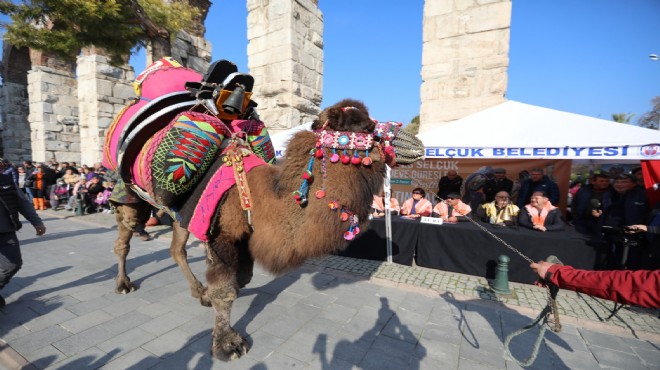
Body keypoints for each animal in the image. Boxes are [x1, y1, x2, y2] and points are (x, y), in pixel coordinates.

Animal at [103, 58, 422, 362]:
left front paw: (217, 304)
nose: (416, 144)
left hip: (181, 214)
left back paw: (198, 293)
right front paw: (227, 345)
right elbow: (225, 290)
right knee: (123, 238)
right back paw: (123, 284)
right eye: (366, 127)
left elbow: (241, 279)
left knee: (176, 249)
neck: (260, 198)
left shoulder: (238, 233)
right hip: (129, 195)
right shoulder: (222, 234)